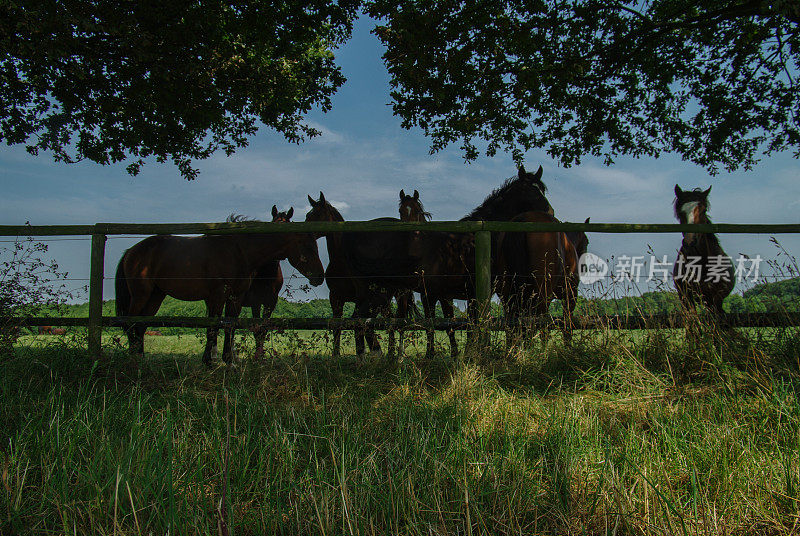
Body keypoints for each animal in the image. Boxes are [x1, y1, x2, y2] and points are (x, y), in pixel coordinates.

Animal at [113, 228, 324, 366]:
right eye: (309, 247)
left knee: (141, 324)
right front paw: (209, 361)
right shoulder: (217, 295)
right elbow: (213, 326)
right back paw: (133, 357)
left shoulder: (235, 297)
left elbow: (230, 325)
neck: (238, 251)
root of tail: (131, 251)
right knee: (131, 321)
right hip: (141, 294)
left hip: (156, 296)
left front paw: (229, 360)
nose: (320, 277)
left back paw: (140, 356)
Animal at [228, 207, 294, 358]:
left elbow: (264, 328)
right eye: (273, 224)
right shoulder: (256, 302)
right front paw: (257, 356)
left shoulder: (270, 303)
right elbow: (257, 328)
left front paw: (261, 354)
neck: (266, 275)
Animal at [496, 211, 592, 346]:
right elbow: (566, 326)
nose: (583, 267)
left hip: (507, 296)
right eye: (586, 242)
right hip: (541, 296)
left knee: (511, 328)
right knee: (537, 327)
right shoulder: (571, 295)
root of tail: (524, 219)